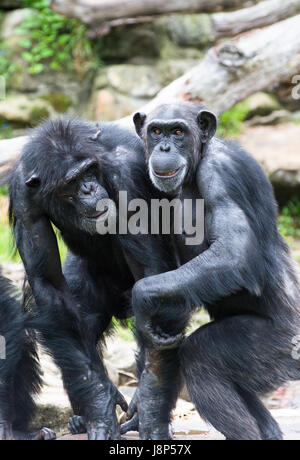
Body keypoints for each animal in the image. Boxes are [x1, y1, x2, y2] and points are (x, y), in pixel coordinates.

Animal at [8, 117, 180, 438]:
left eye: (88, 171)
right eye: (72, 182)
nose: (89, 188)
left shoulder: (128, 178)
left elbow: (151, 274)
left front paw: (150, 412)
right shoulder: (24, 199)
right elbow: (49, 287)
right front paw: (100, 408)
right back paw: (81, 417)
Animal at [132, 102, 300, 440]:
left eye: (178, 131)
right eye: (156, 131)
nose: (165, 147)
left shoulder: (221, 173)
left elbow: (232, 253)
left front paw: (140, 299)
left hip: (280, 346)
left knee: (201, 357)